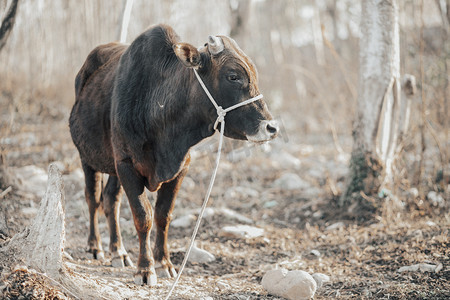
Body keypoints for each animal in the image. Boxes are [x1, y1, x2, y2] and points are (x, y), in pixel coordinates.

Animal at [68, 24, 278, 286]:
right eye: (233, 76)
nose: (271, 127)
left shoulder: (179, 169)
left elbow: (162, 216)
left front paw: (164, 263)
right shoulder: (127, 165)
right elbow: (143, 216)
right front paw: (145, 269)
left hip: (112, 164)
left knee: (110, 200)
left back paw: (118, 251)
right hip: (87, 157)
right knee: (93, 197)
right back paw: (95, 246)